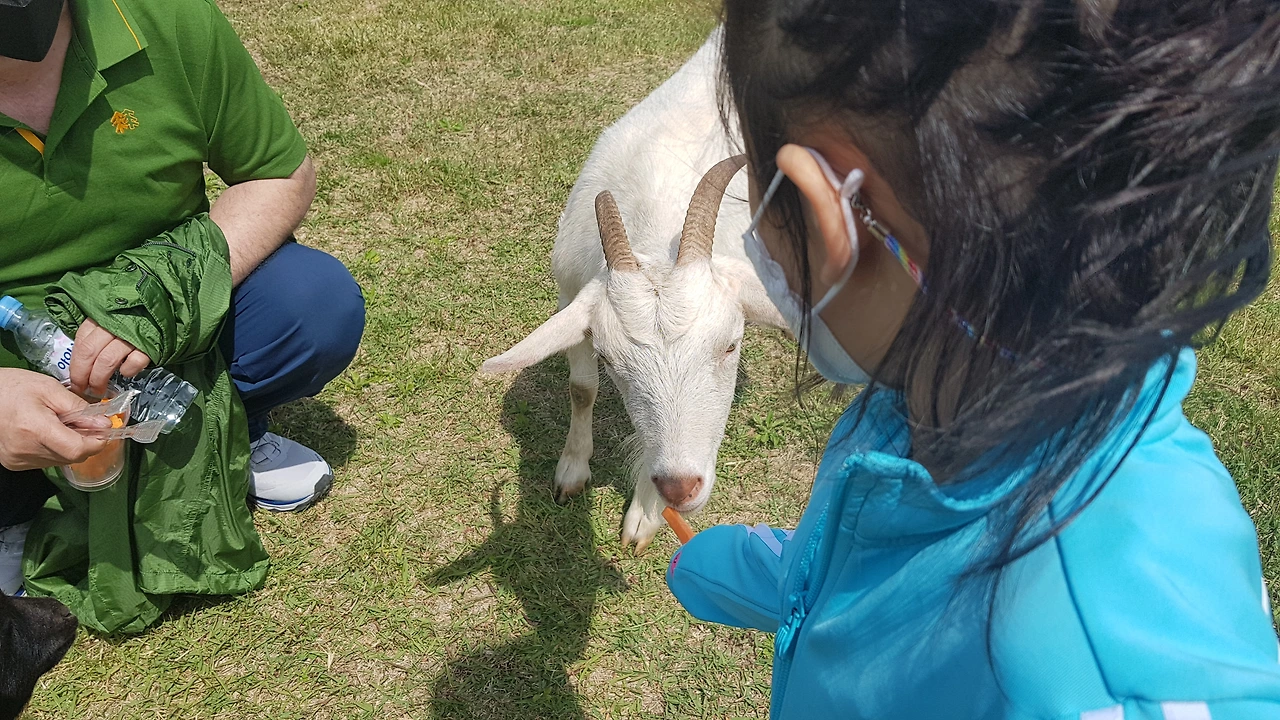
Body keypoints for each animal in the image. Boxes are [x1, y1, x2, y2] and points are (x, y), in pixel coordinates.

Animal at [482, 29, 785, 551]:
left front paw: (644, 514)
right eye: (612, 361)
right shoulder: (570, 293)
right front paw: (572, 471)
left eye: (731, 346)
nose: (680, 487)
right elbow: (582, 389)